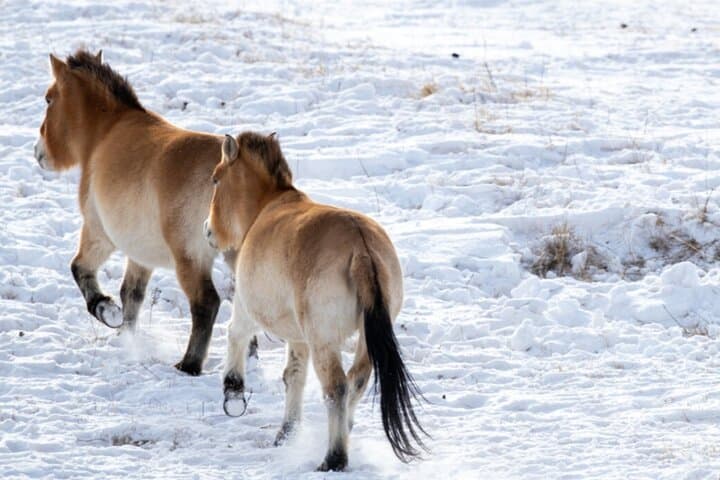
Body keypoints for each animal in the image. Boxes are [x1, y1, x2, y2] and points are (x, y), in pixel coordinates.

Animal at [34, 49, 253, 375]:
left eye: (49, 99)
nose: (38, 152)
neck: (105, 133)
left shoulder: (98, 233)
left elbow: (81, 269)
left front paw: (106, 310)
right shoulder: (140, 253)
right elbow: (131, 295)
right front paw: (126, 335)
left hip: (189, 258)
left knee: (206, 303)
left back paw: (189, 364)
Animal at [203, 132, 428, 471]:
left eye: (216, 179)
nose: (208, 230)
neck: (267, 206)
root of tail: (362, 251)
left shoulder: (247, 306)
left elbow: (236, 335)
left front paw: (233, 390)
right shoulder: (299, 337)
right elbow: (294, 376)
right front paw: (287, 432)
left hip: (324, 339)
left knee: (336, 387)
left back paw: (334, 458)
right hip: (362, 339)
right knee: (357, 380)